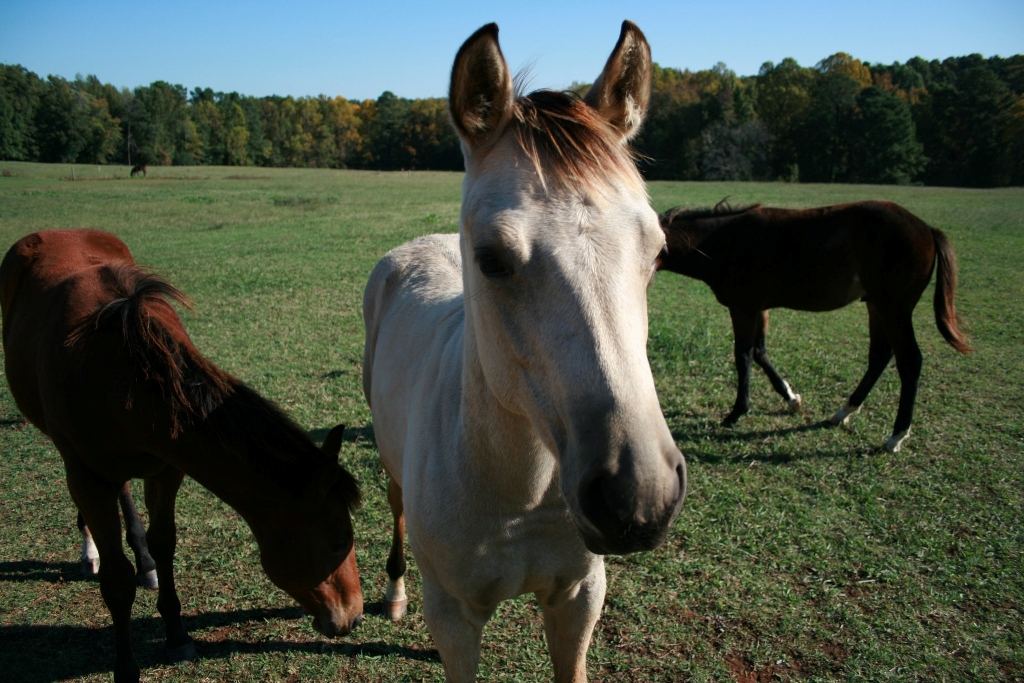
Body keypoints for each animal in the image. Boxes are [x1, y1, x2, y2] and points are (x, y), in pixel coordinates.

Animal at [1, 229, 364, 683]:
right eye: (338, 541)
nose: (354, 616)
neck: (124, 380)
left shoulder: (167, 468)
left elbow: (165, 544)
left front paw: (176, 635)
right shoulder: (88, 475)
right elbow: (117, 581)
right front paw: (126, 667)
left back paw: (143, 563)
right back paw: (91, 553)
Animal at [362, 21, 688, 683]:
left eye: (659, 252)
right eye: (490, 259)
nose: (637, 496)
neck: (522, 494)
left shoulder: (580, 595)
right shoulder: (454, 617)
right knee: (395, 505)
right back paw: (394, 595)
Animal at [659, 198, 970, 454]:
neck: (725, 241)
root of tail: (927, 229)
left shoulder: (743, 307)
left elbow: (744, 355)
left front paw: (736, 412)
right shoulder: (760, 307)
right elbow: (760, 352)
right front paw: (791, 397)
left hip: (895, 309)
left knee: (910, 361)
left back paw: (896, 436)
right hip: (876, 306)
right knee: (880, 356)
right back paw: (844, 412)